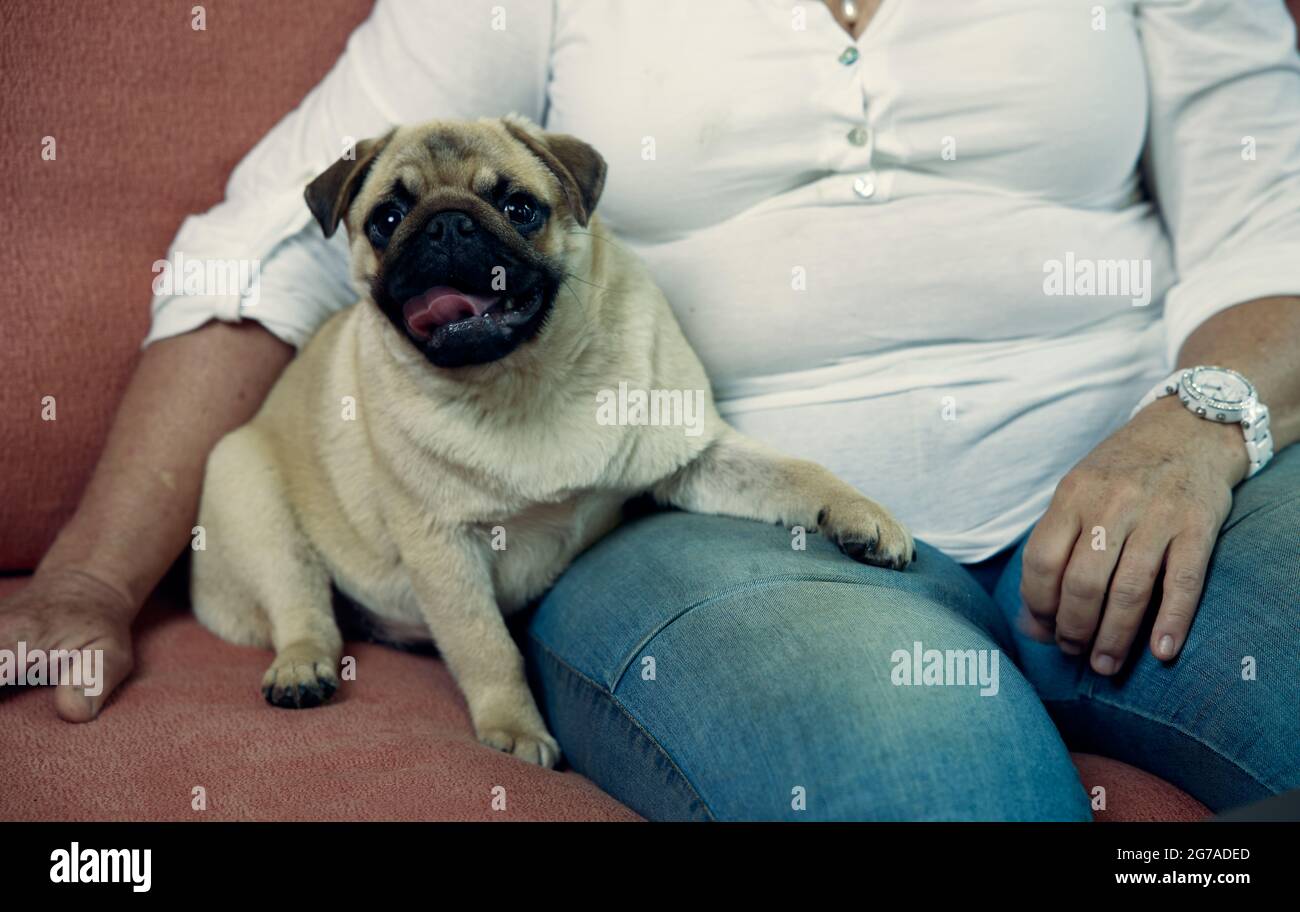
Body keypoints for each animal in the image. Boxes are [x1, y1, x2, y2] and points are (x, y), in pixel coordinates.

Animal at [189, 116, 915, 769]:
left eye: (520, 208)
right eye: (386, 220)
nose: (445, 225)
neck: (521, 379)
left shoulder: (696, 458)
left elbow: (798, 473)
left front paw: (861, 515)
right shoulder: (441, 548)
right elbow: (487, 648)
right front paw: (513, 730)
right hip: (248, 489)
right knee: (301, 604)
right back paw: (302, 667)